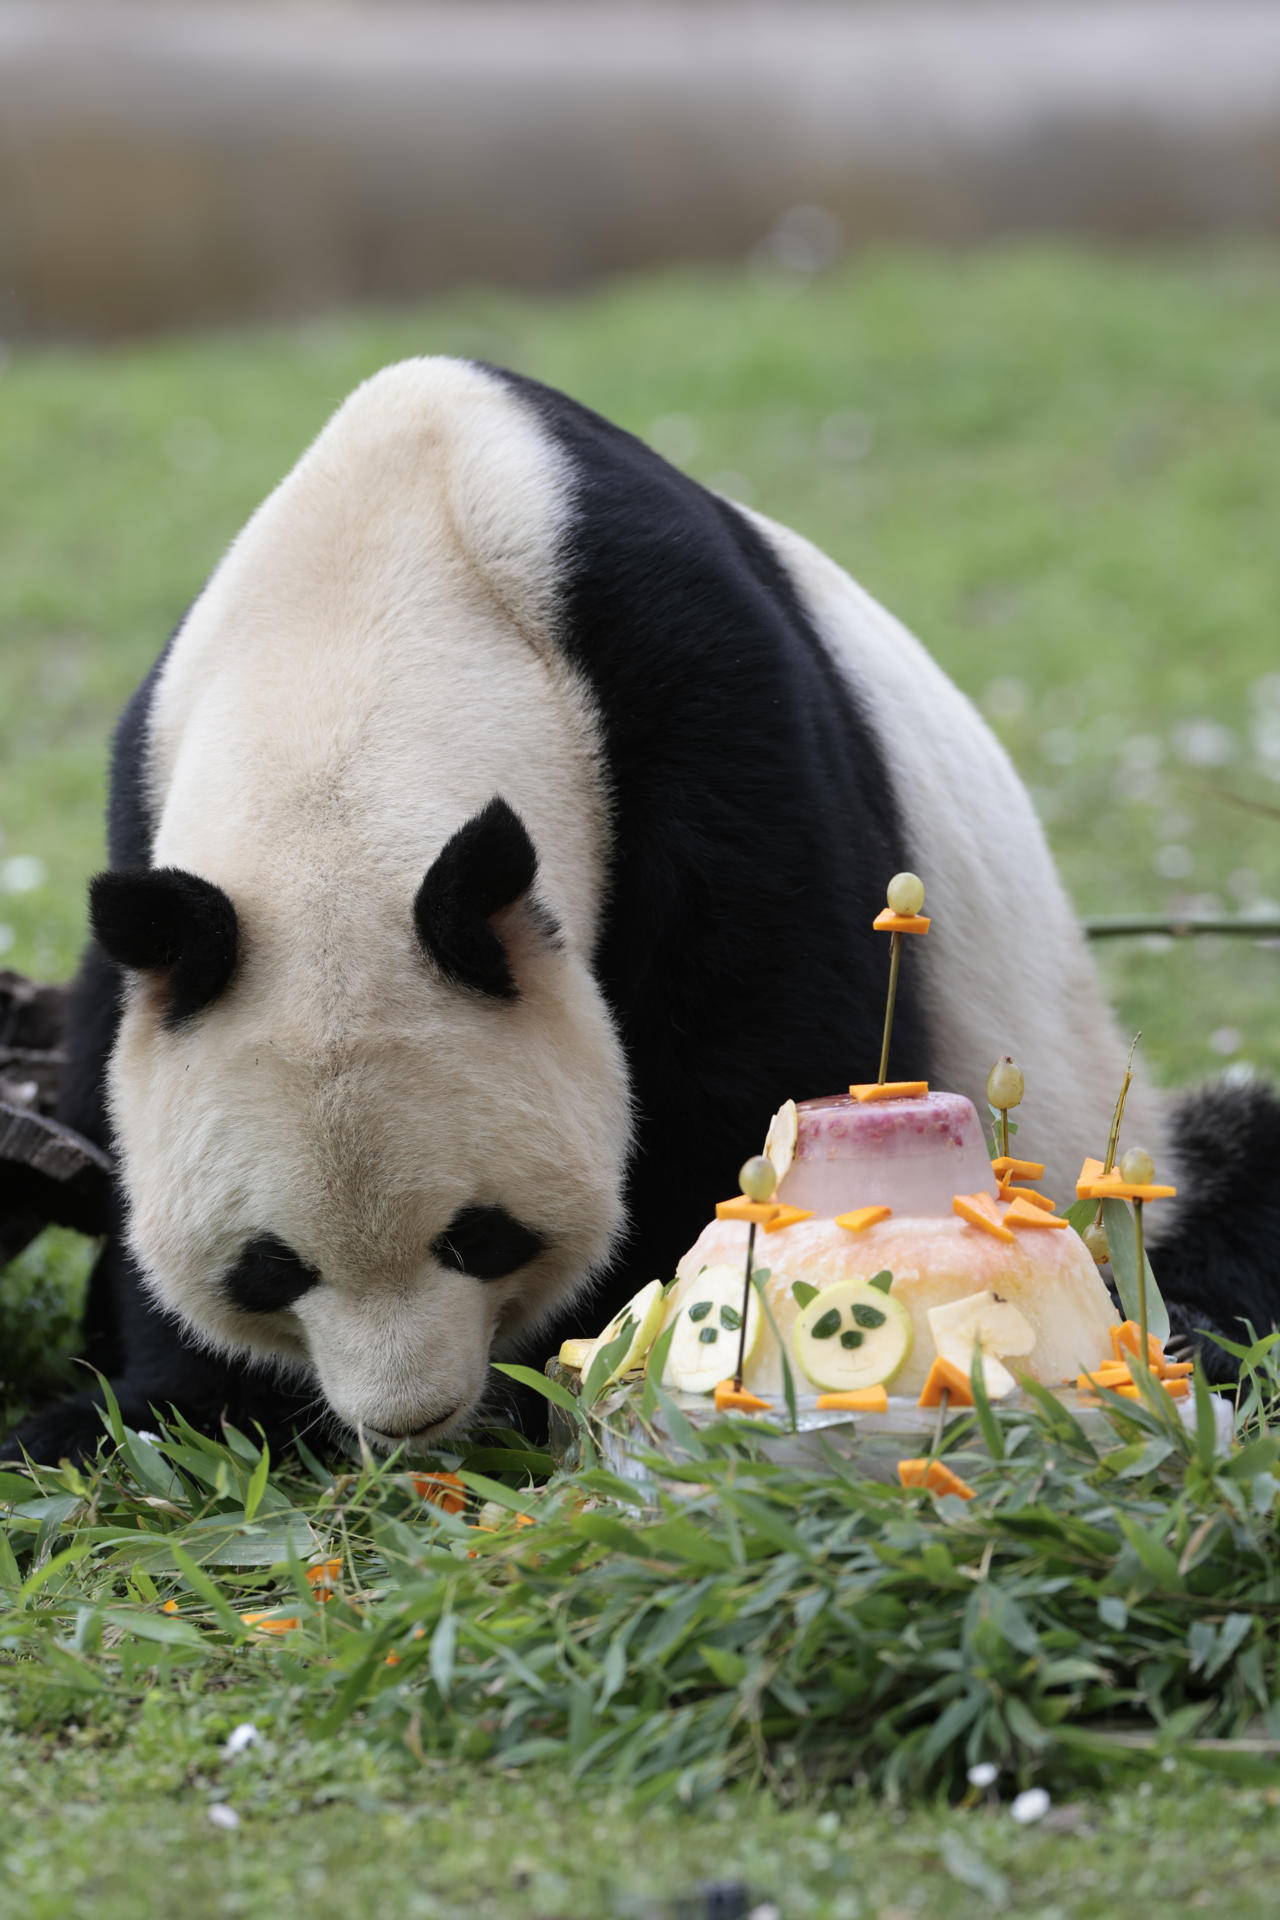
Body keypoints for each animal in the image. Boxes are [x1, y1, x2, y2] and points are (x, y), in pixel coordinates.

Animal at [5, 362, 1274, 1466]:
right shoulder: (152, 797)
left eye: (480, 1235)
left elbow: (760, 1043)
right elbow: (111, 1089)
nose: (412, 1420)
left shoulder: (696, 692)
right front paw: (148, 1414)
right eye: (270, 1268)